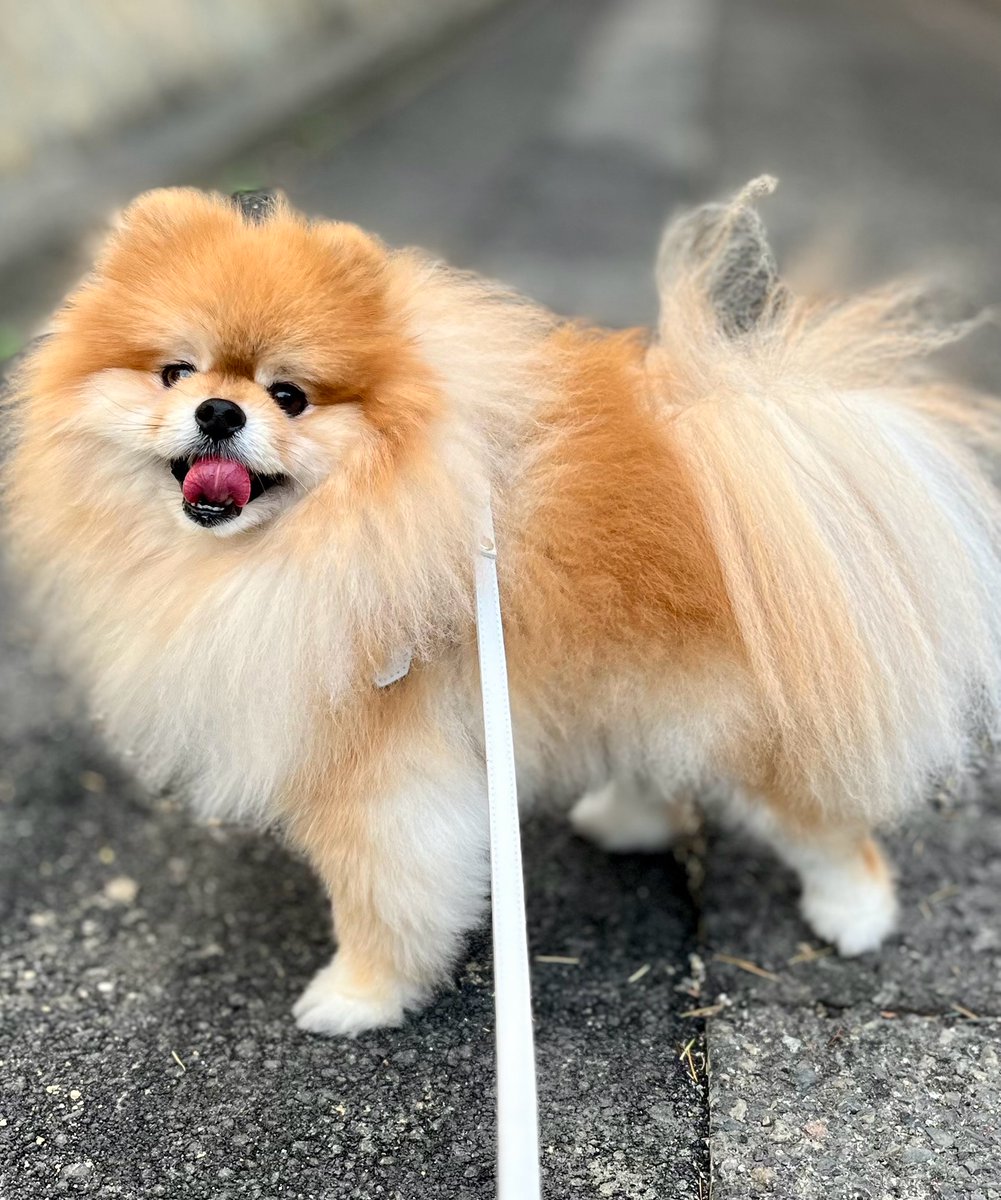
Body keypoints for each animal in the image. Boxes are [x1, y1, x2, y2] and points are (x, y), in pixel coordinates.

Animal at [7, 175, 998, 1032]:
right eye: (176, 372)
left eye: (289, 395)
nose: (220, 411)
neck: (329, 529)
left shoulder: (381, 782)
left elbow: (379, 899)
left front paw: (357, 997)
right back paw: (626, 818)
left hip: (751, 721)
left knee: (823, 827)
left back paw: (854, 912)